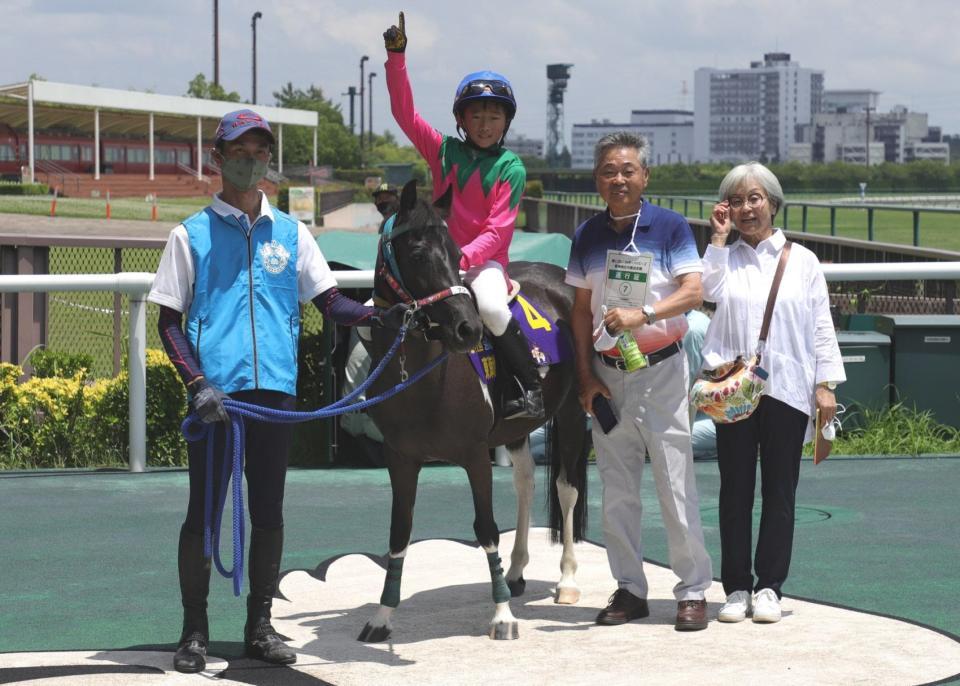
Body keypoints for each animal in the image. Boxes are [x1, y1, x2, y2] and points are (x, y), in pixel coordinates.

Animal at [356, 180, 588, 644]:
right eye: (417, 254)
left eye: (455, 252)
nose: (469, 329)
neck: (426, 379)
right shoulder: (400, 457)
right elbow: (399, 531)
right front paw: (382, 616)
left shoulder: (474, 454)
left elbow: (486, 528)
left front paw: (501, 617)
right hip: (518, 428)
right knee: (525, 481)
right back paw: (515, 573)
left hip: (572, 412)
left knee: (566, 487)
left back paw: (567, 580)